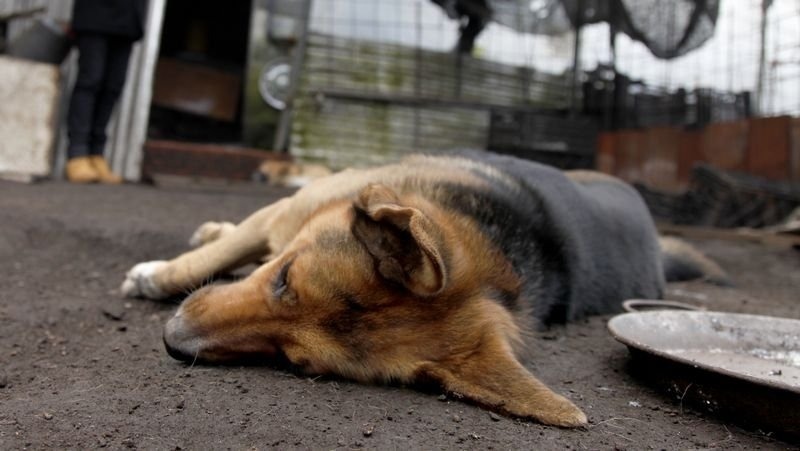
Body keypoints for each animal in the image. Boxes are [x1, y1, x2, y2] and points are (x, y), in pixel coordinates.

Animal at [122, 151, 728, 428]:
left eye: (295, 362)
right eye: (284, 279)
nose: (173, 342)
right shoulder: (288, 213)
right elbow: (217, 256)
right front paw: (161, 274)